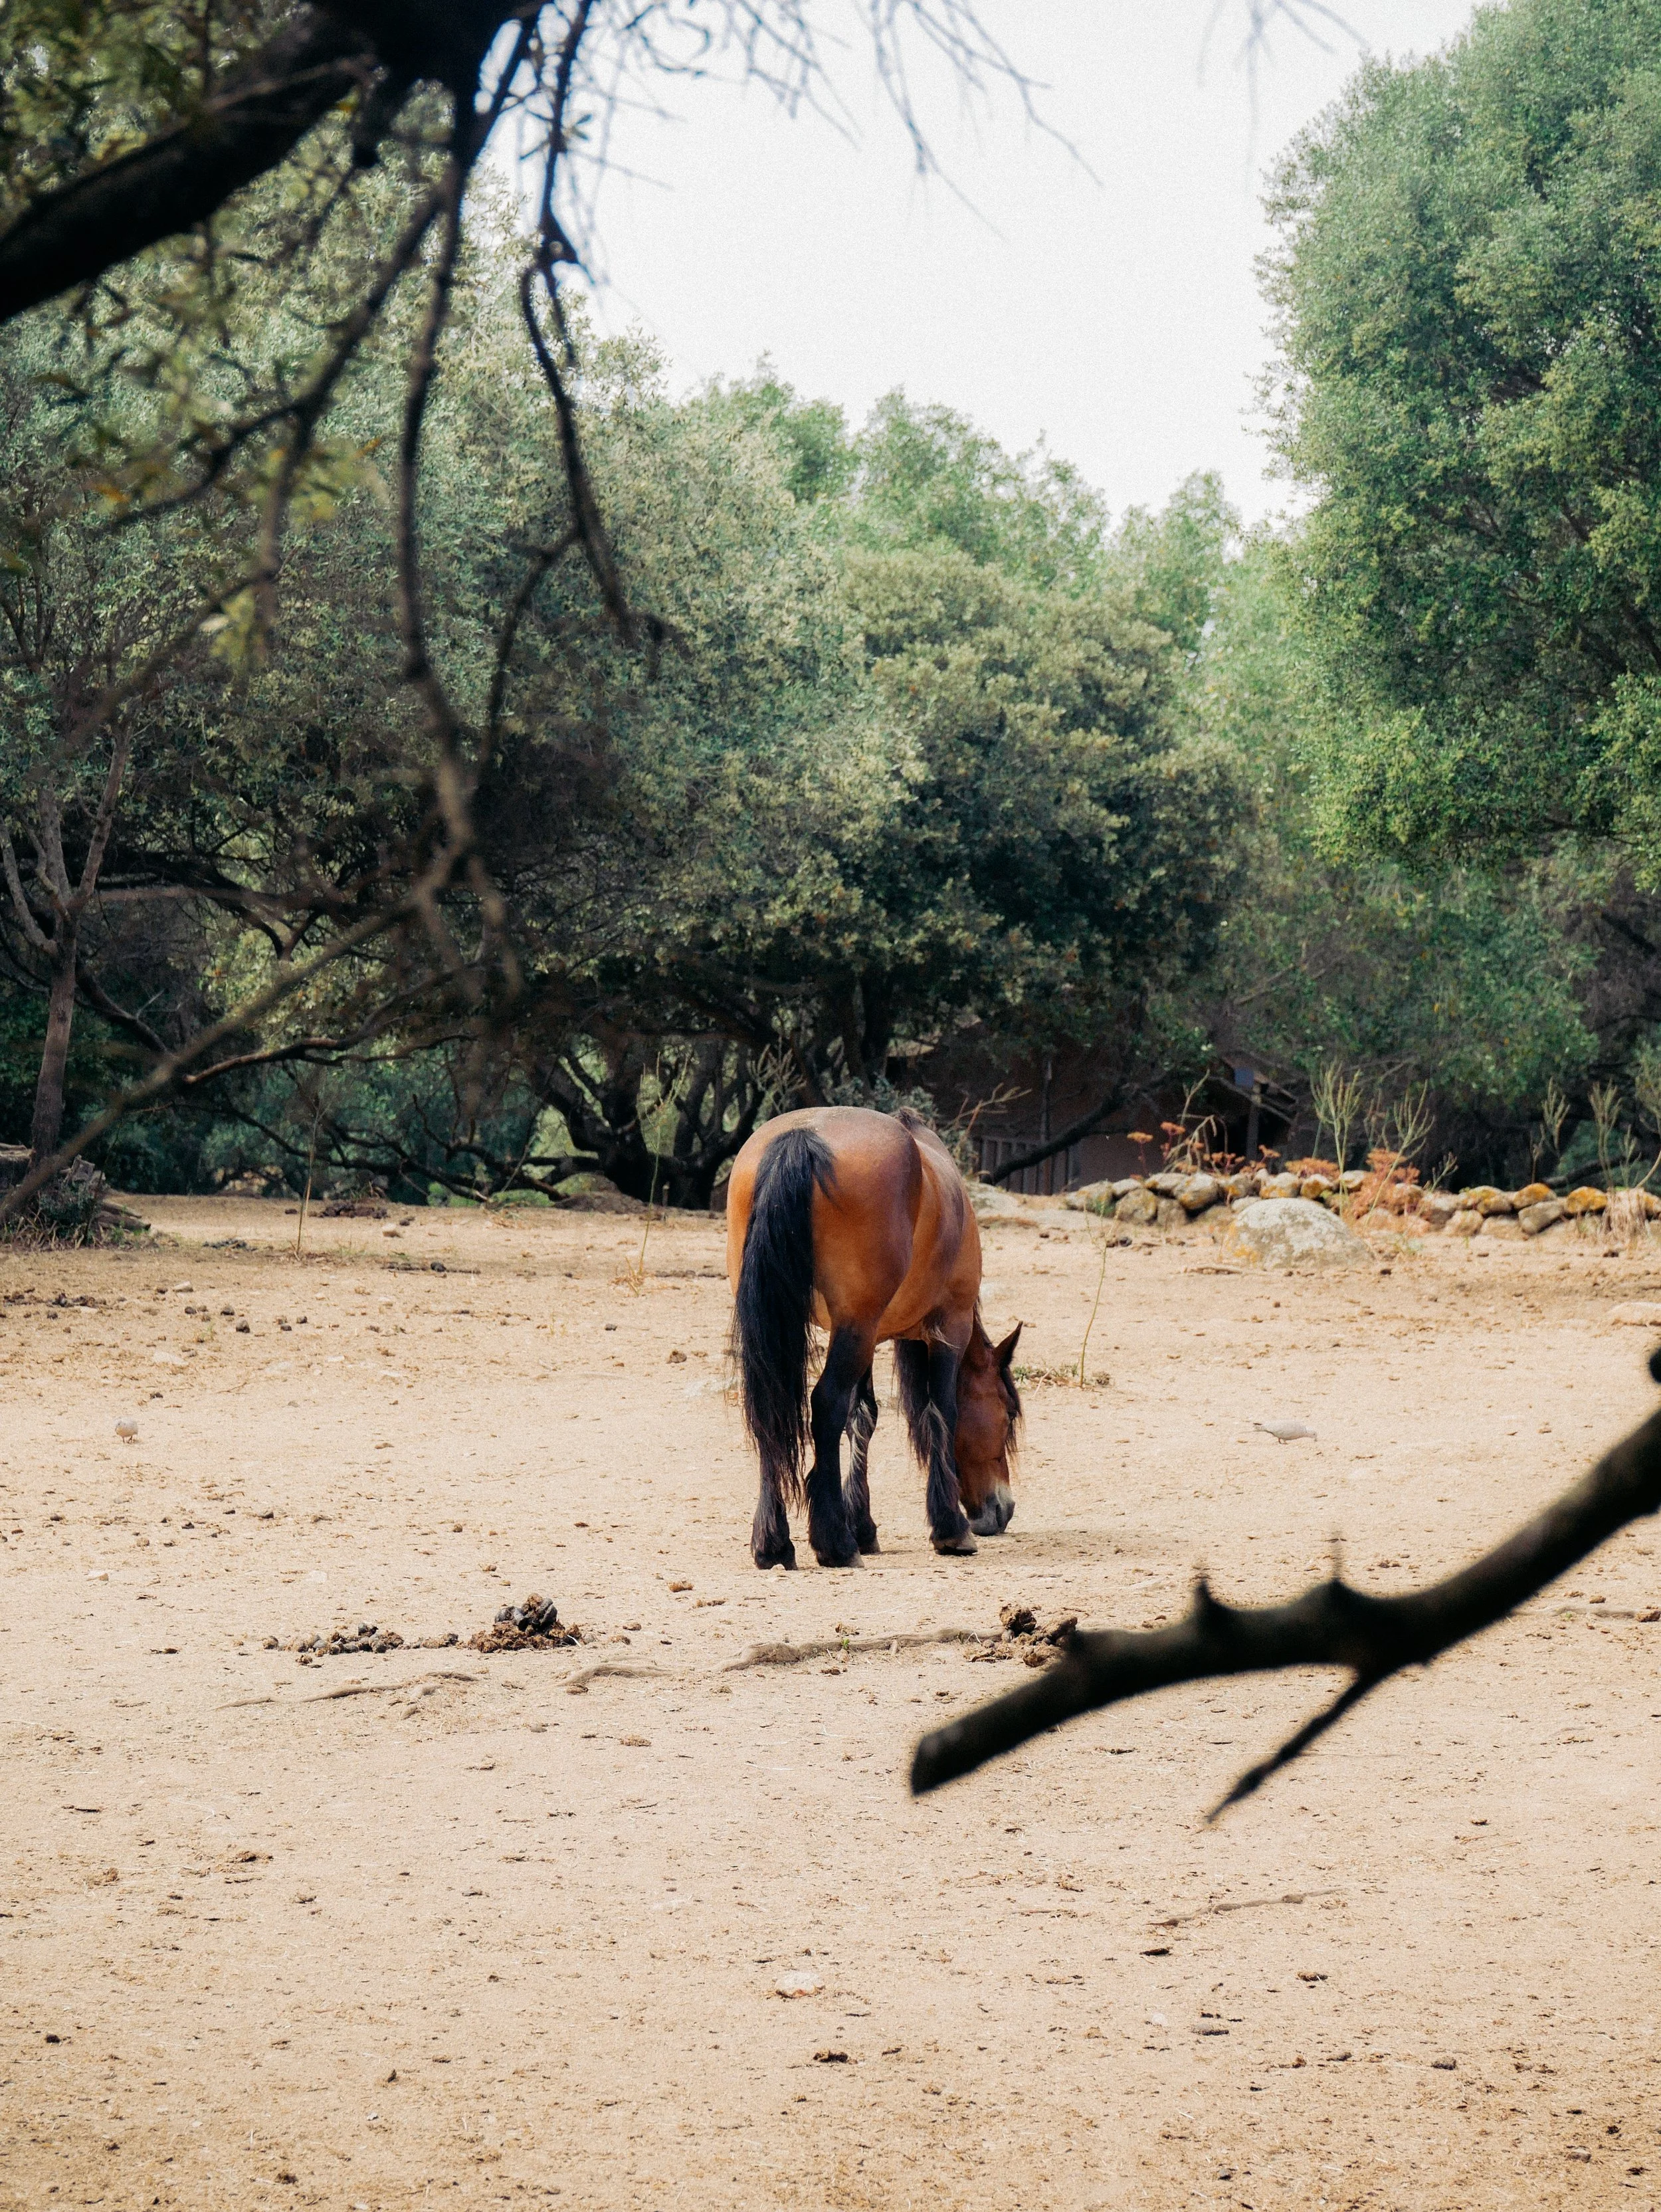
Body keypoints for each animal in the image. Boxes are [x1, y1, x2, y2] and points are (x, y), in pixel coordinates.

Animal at [725, 1105, 1022, 1569]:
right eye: (1008, 1414)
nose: (1002, 1509)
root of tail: (802, 1137)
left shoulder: (871, 1334)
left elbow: (862, 1418)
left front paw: (862, 1526)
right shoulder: (948, 1328)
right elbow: (942, 1411)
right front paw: (949, 1529)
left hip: (806, 1329)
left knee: (771, 1411)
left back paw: (773, 1543)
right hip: (856, 1327)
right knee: (824, 1405)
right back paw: (833, 1542)